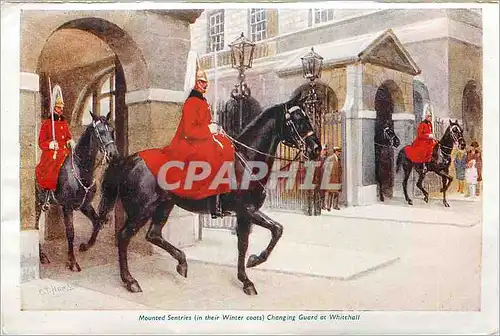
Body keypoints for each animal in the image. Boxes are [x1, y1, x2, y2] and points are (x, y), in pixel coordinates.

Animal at [34, 111, 119, 272]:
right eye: (100, 132)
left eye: (112, 131)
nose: (113, 154)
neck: (82, 169)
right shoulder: (67, 207)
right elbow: (71, 233)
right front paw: (72, 262)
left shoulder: (85, 205)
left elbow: (97, 222)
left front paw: (86, 246)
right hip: (37, 203)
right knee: (34, 226)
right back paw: (41, 256)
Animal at [97, 93, 322, 296]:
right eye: (298, 119)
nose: (317, 149)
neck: (247, 160)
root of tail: (129, 160)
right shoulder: (247, 210)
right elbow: (276, 229)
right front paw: (254, 263)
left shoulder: (245, 214)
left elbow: (245, 244)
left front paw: (245, 278)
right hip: (141, 210)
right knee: (124, 236)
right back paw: (130, 280)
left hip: (163, 206)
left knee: (153, 234)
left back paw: (181, 262)